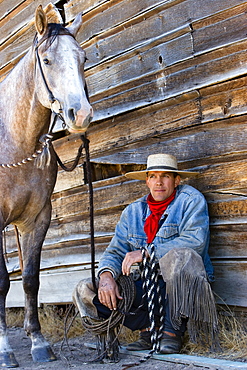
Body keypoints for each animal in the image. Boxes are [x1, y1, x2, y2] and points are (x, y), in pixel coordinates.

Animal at [0, 5, 93, 368]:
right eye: (47, 60)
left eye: (83, 57)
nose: (80, 114)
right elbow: (2, 282)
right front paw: (5, 350)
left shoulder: (37, 218)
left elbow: (30, 279)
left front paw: (38, 341)